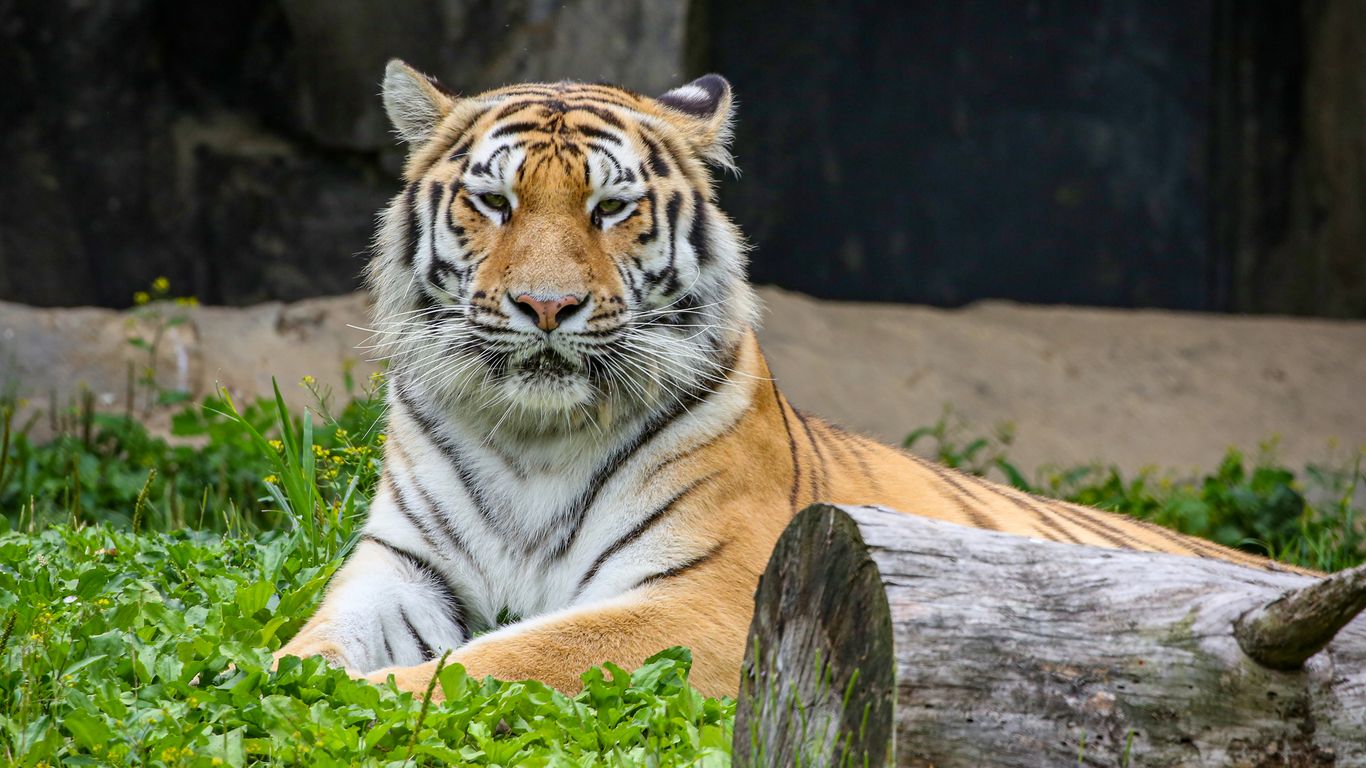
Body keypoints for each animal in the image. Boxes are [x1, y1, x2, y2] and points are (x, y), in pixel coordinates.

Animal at [275, 59, 1292, 698]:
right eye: (493, 201)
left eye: (610, 208)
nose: (546, 306)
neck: (535, 435)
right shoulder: (402, 569)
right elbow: (305, 647)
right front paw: (270, 677)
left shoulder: (707, 596)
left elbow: (502, 660)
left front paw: (376, 697)